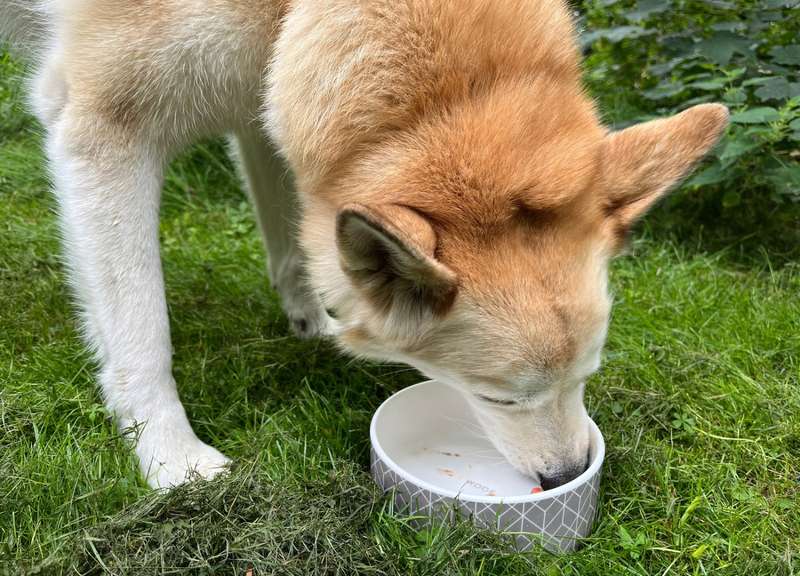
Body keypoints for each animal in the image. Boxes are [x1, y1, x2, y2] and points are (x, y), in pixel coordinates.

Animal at [0, 1, 724, 490]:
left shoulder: (269, 101)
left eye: (586, 378)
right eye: (499, 398)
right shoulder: (104, 130)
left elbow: (295, 243)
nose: (567, 475)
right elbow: (141, 335)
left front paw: (315, 325)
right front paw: (172, 461)